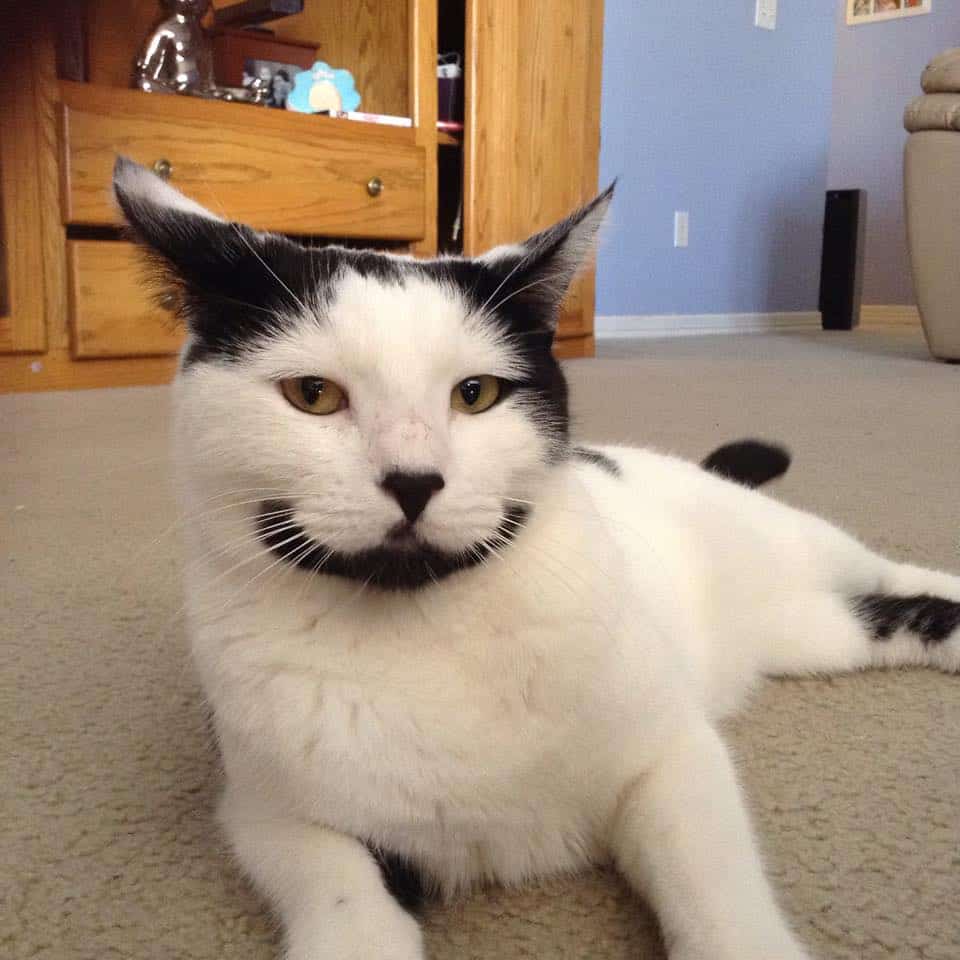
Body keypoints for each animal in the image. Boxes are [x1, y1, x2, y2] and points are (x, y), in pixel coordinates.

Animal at [114, 159, 960, 960]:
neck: (423, 637)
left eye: (476, 394)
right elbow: (345, 898)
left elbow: (713, 886)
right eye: (314, 394)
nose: (414, 480)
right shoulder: (272, 812)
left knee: (885, 572)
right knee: (888, 618)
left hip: (797, 544)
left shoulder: (669, 753)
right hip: (816, 635)